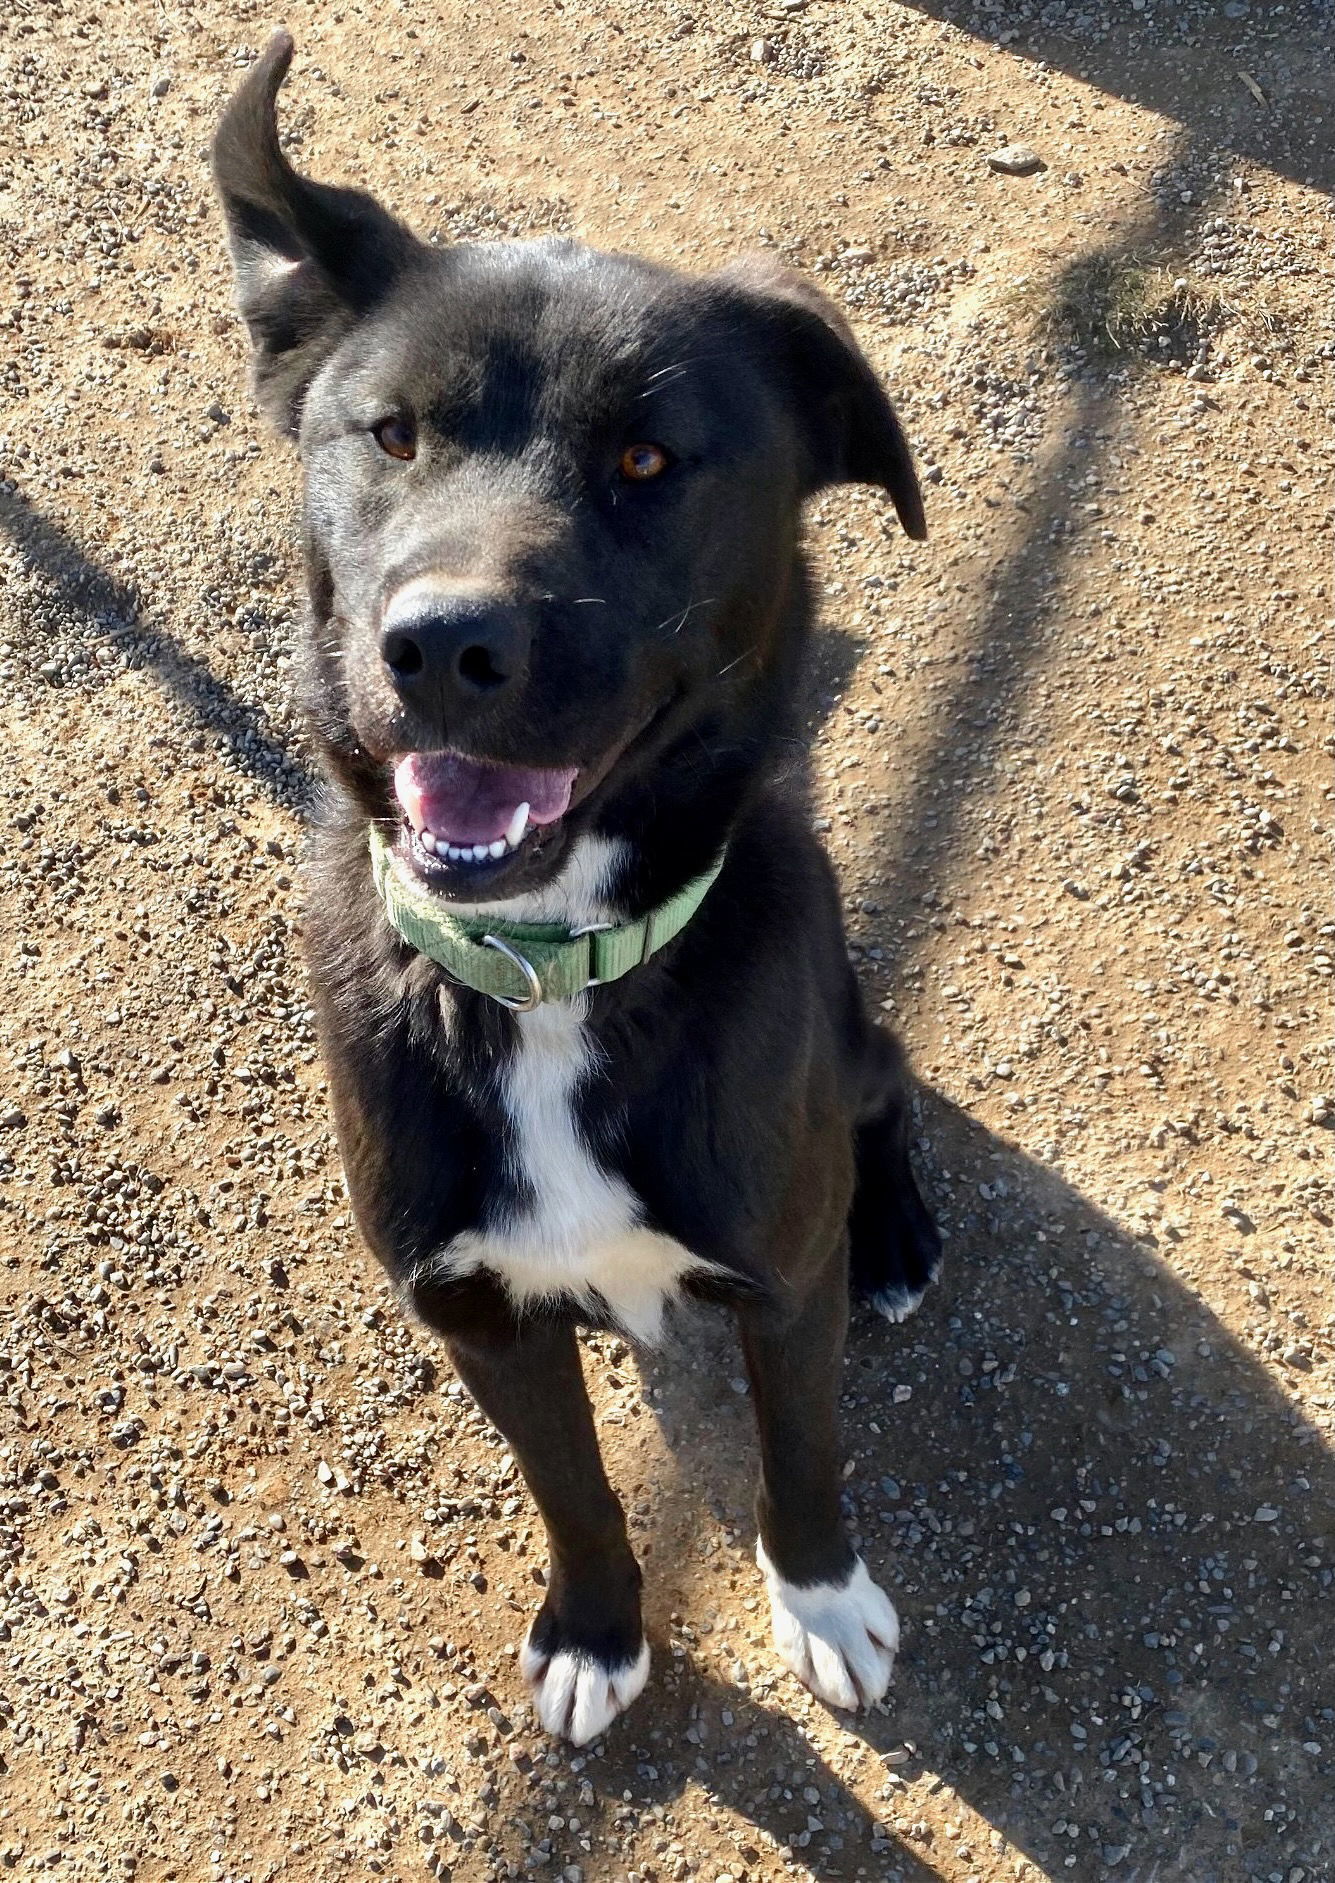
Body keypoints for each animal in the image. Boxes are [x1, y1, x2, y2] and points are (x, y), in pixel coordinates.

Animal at [210, 36, 937, 1739]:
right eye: (390, 434)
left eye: (646, 459)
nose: (437, 645)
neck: (545, 970)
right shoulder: (475, 1309)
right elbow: (574, 1489)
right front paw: (602, 1627)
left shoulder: (778, 1277)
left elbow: (803, 1453)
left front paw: (822, 1597)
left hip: (854, 1043)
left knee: (883, 1105)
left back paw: (897, 1230)